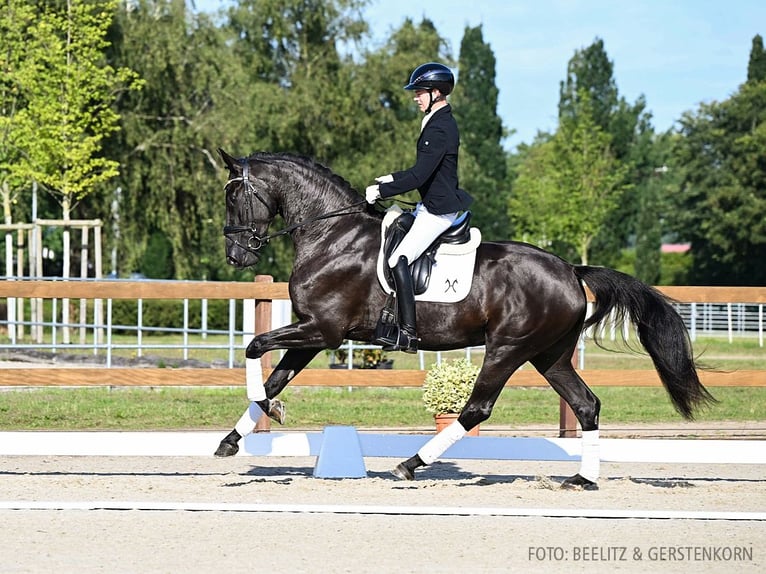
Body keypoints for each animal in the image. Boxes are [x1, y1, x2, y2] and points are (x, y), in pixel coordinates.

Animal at [213, 148, 716, 490]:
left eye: (235, 196)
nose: (236, 255)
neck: (331, 234)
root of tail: (571, 271)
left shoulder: (323, 330)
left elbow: (254, 347)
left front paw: (269, 412)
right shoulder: (314, 334)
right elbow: (274, 376)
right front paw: (234, 438)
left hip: (508, 348)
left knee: (477, 407)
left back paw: (410, 464)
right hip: (549, 355)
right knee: (586, 405)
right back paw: (582, 480)